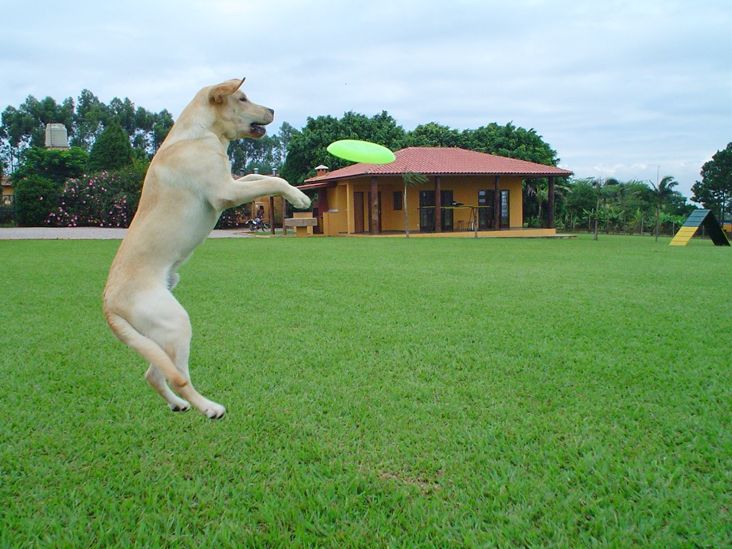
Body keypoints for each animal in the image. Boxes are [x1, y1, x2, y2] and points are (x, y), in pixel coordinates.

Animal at [103, 78, 308, 420]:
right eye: (243, 97)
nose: (272, 110)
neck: (201, 134)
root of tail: (108, 302)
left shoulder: (232, 179)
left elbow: (260, 176)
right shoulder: (225, 191)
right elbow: (272, 180)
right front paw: (299, 196)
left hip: (158, 336)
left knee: (155, 375)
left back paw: (178, 404)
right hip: (175, 323)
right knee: (179, 377)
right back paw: (209, 408)